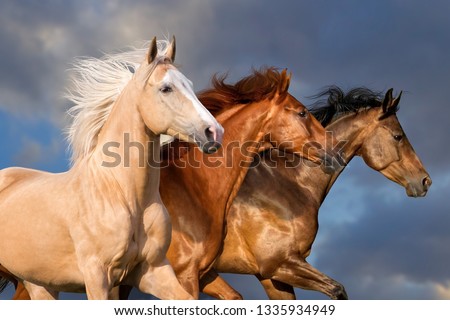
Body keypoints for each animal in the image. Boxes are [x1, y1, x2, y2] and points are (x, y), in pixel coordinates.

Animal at [0, 37, 223, 300]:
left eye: (189, 84)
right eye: (166, 88)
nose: (214, 132)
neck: (122, 194)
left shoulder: (154, 270)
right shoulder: (98, 276)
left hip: (40, 283)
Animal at [201, 86, 432, 298]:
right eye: (398, 136)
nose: (425, 181)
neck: (283, 185)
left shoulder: (272, 276)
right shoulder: (278, 264)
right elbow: (338, 290)